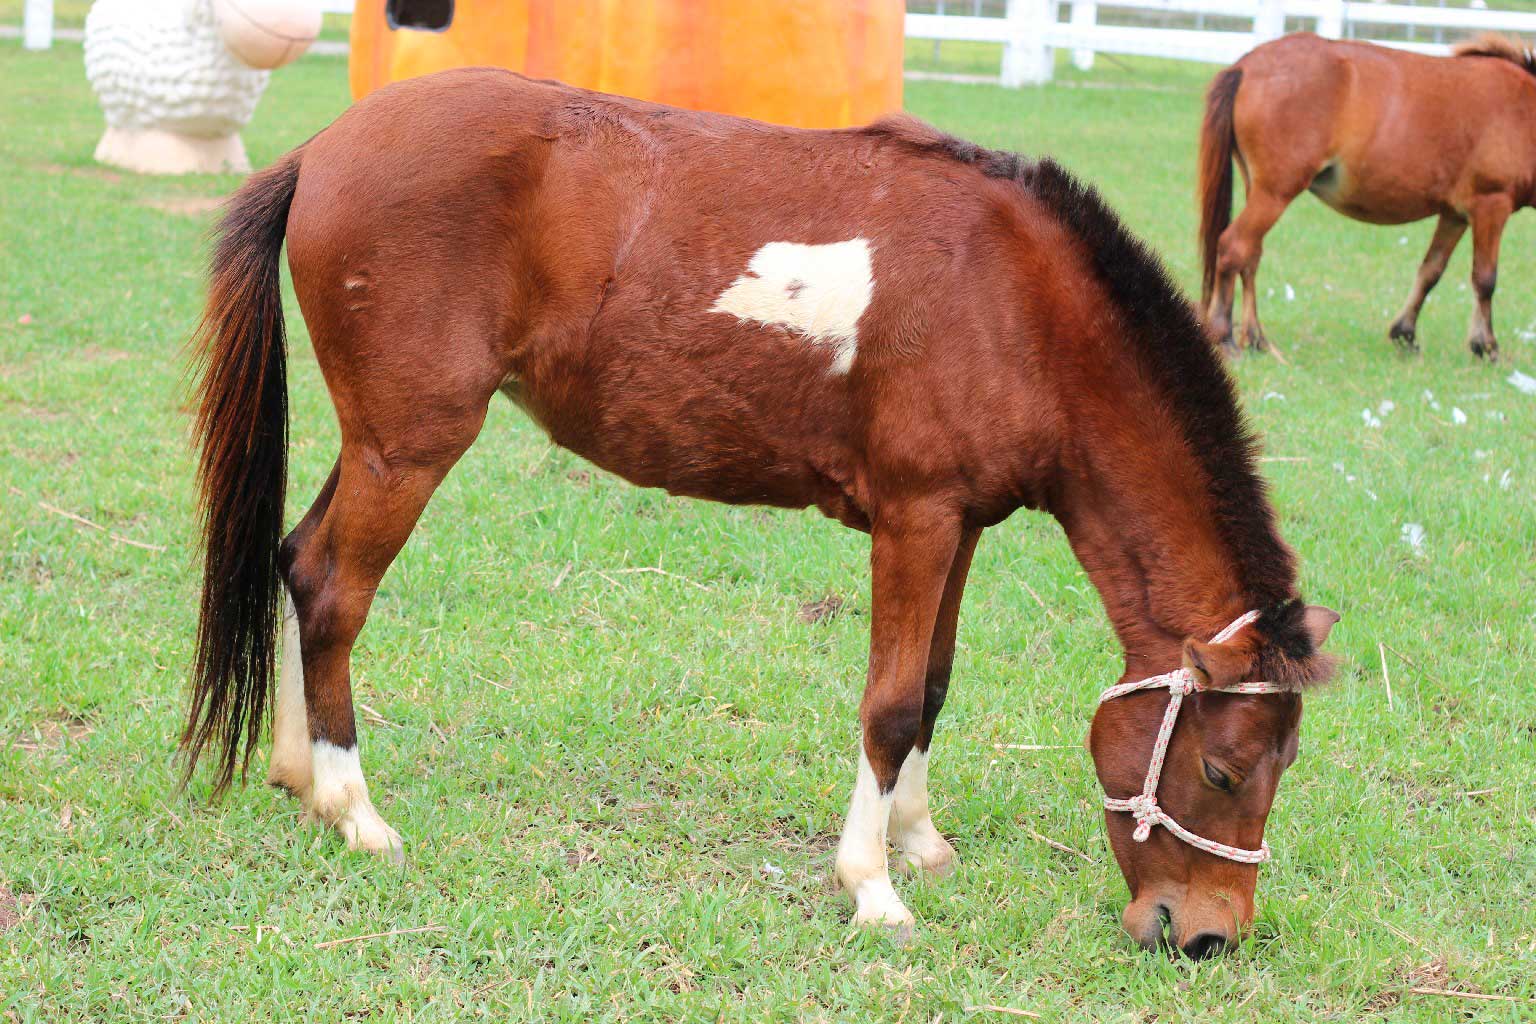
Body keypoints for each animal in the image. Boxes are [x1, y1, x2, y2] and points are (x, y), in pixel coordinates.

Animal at [183, 68, 1339, 956]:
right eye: (1222, 768)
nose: (1208, 935)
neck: (1016, 300)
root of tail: (326, 148)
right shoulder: (915, 520)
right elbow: (893, 705)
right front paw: (872, 886)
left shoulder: (962, 524)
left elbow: (936, 685)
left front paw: (919, 841)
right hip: (410, 447)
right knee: (336, 591)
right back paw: (354, 810)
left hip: (379, 444)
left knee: (298, 562)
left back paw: (298, 773)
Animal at [1199, 32, 1536, 360]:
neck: (1523, 108)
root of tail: (1245, 67)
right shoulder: (1491, 205)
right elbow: (1485, 278)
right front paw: (1486, 345)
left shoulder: (1454, 215)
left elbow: (1431, 270)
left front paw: (1405, 333)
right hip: (1274, 194)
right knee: (1233, 247)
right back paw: (1224, 337)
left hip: (1259, 192)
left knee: (1250, 255)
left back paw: (1255, 337)